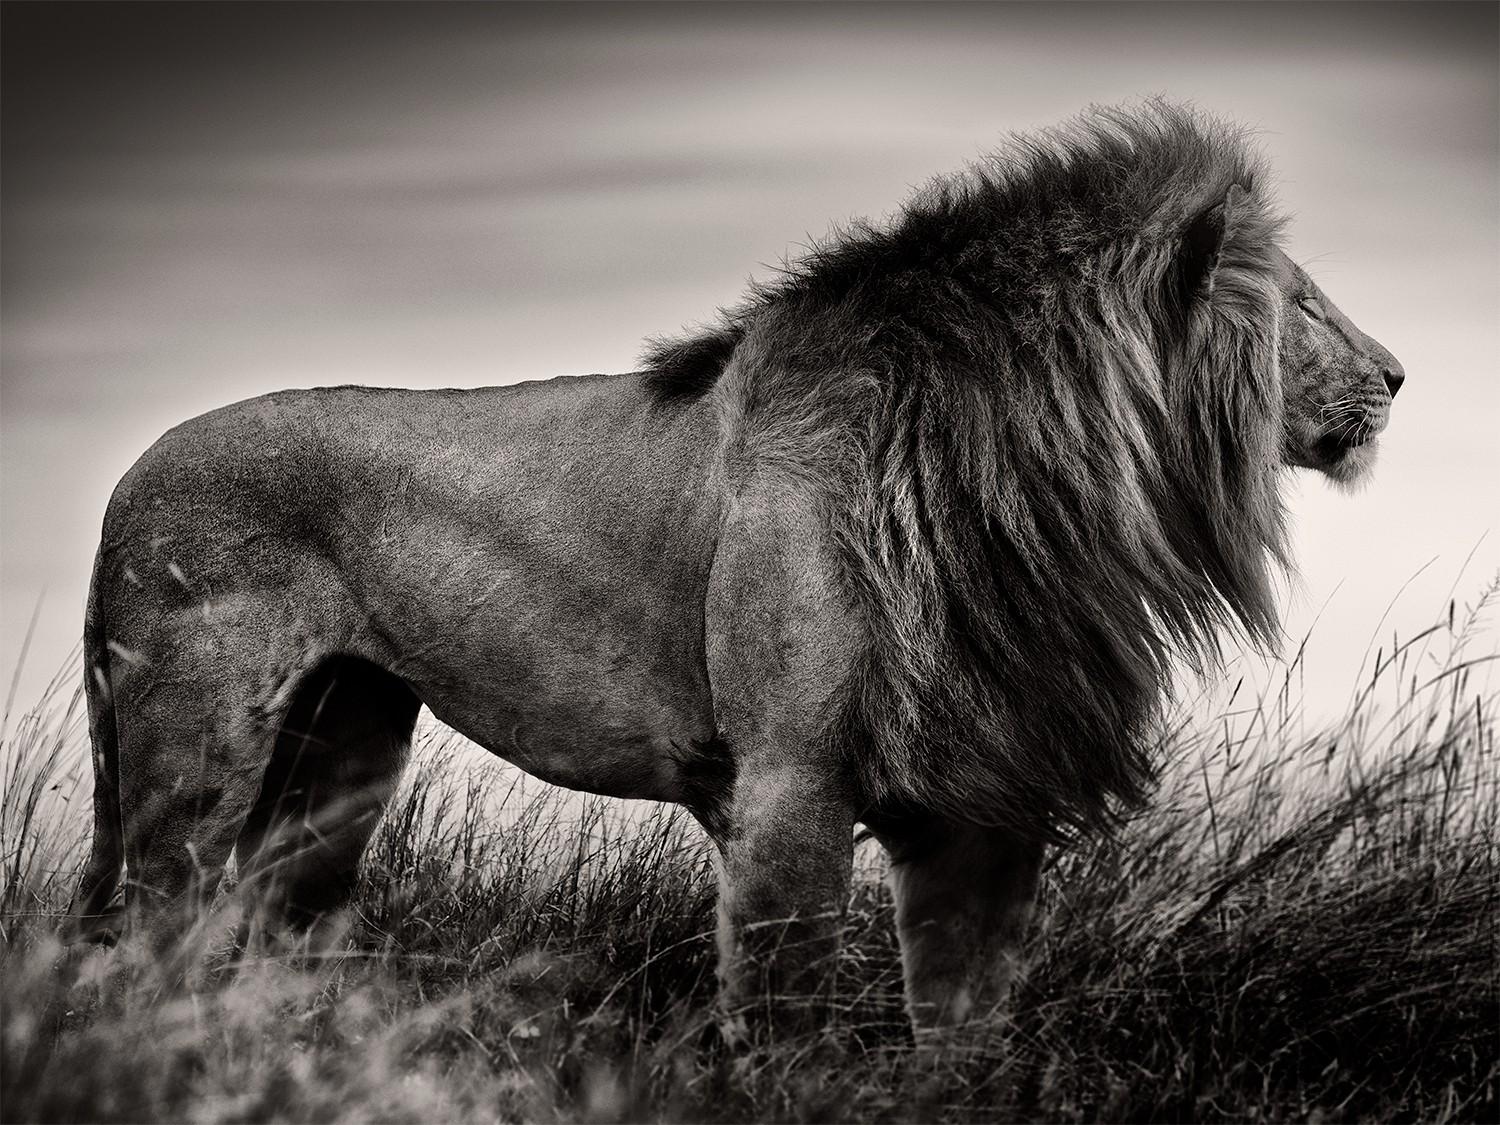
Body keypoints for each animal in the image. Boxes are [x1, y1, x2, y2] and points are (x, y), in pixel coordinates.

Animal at [73, 105, 1404, 1038]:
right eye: (1303, 303)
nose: (1398, 375)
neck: (1031, 479)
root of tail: (129, 475)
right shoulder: (787, 782)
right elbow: (787, 1019)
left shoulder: (983, 789)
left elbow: (964, 1026)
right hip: (188, 754)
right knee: (151, 935)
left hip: (341, 748)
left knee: (269, 926)